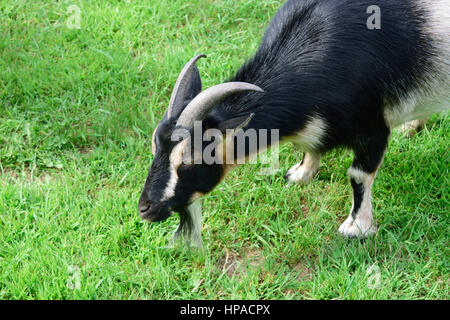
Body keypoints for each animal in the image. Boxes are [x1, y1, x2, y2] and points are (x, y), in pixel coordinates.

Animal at [139, 0, 448, 248]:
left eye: (191, 159)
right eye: (155, 147)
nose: (145, 208)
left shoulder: (372, 126)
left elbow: (358, 176)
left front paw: (356, 228)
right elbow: (309, 148)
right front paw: (300, 173)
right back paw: (412, 125)